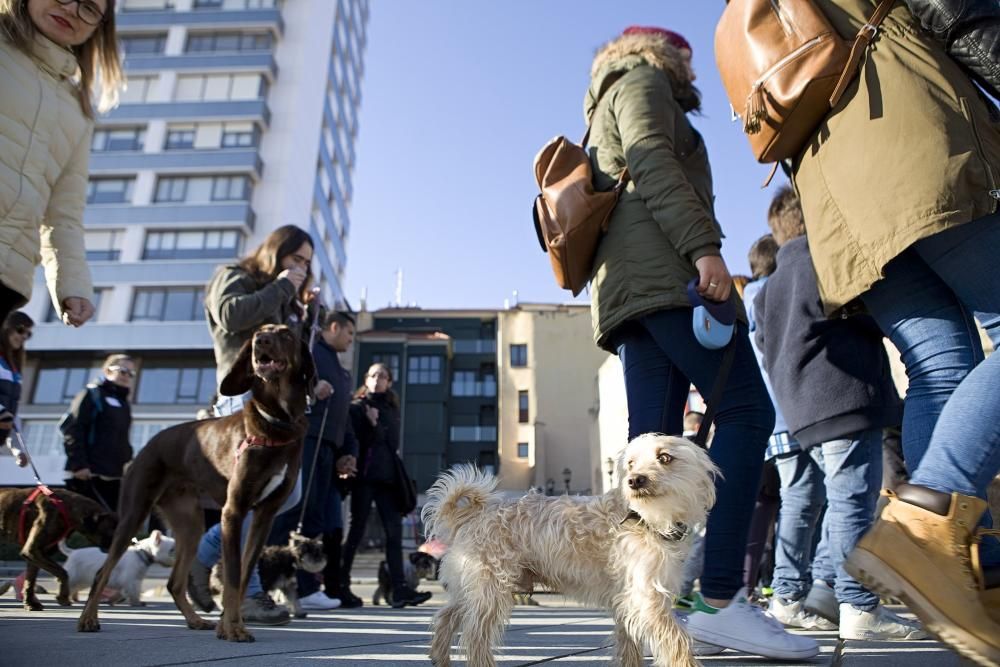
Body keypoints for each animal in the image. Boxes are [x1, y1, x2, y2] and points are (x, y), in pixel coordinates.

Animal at [77, 326, 312, 644]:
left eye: (286, 334)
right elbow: (233, 576)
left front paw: (228, 626)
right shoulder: (233, 511)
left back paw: (195, 620)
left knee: (175, 582)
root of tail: (150, 443)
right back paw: (88, 619)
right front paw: (234, 629)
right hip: (134, 513)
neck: (277, 422)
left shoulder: (264, 516)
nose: (260, 342)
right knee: (103, 571)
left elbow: (243, 574)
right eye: (259, 332)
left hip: (190, 524)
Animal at [422, 434, 720, 667]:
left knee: (446, 616)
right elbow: (677, 639)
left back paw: (440, 657)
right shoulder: (647, 598)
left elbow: (629, 644)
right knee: (475, 637)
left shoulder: (629, 599)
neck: (645, 519)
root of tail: (474, 514)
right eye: (631, 464)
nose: (635, 480)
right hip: (490, 590)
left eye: (665, 457)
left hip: (472, 588)